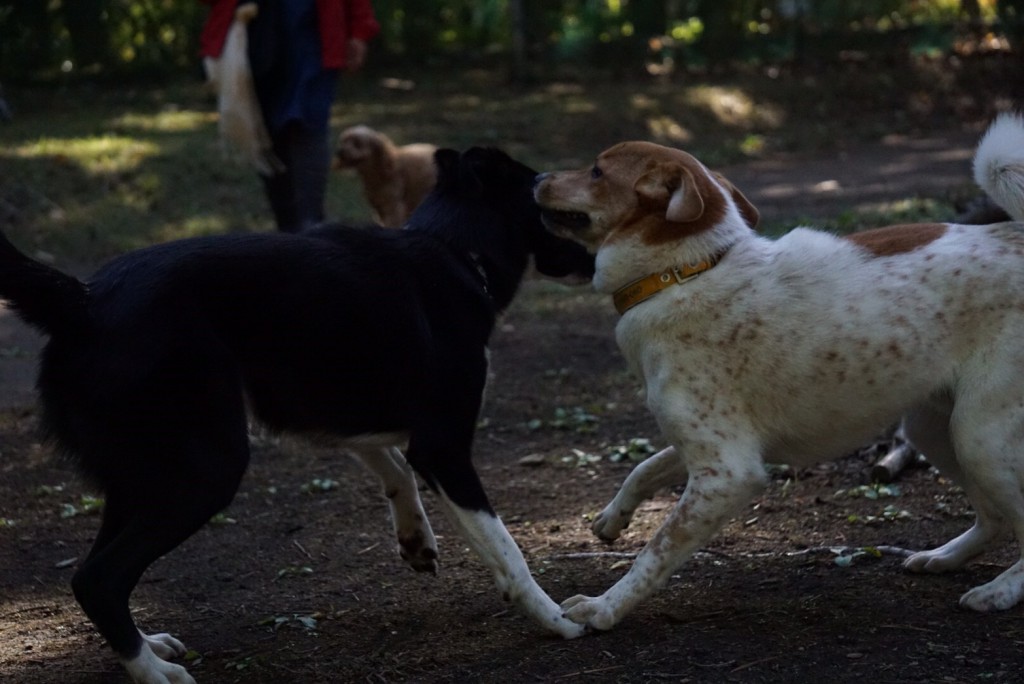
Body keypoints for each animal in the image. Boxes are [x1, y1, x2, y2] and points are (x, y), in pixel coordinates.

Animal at [0, 147, 593, 679]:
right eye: (555, 210)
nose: (596, 262)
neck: (453, 249)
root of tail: (82, 299)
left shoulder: (346, 411)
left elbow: (395, 467)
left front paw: (414, 537)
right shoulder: (444, 448)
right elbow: (506, 548)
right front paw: (555, 617)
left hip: (140, 478)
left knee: (90, 574)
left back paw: (149, 645)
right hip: (205, 471)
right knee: (100, 579)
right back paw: (153, 671)